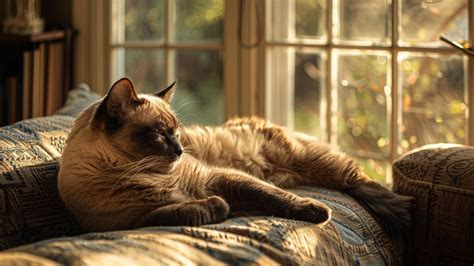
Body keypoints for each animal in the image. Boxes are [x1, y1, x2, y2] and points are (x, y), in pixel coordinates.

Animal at [56, 78, 412, 240]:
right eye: (159, 134)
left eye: (177, 132)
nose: (181, 151)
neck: (138, 175)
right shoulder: (129, 221)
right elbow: (178, 210)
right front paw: (215, 208)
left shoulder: (218, 178)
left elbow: (276, 198)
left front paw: (316, 212)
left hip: (318, 163)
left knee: (359, 182)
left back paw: (401, 211)